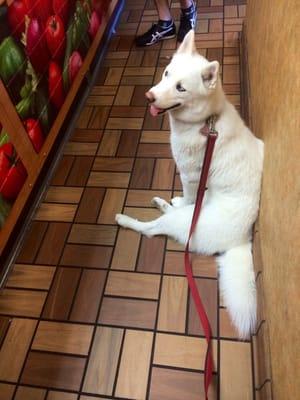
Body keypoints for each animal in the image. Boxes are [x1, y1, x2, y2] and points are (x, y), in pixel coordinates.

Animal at [116, 31, 264, 338]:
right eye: (166, 73)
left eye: (181, 88)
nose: (149, 96)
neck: (206, 122)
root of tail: (243, 238)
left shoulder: (190, 177)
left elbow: (187, 195)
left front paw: (178, 199)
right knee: (173, 212)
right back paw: (162, 202)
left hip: (184, 222)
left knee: (151, 229)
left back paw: (126, 219)